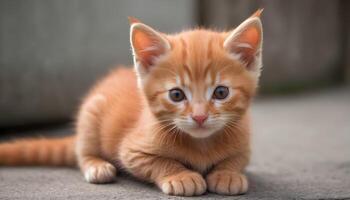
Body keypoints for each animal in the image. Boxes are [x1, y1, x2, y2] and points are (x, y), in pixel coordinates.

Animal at [0, 9, 262, 197]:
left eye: (221, 92)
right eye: (176, 95)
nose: (199, 117)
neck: (202, 144)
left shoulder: (245, 144)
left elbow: (236, 159)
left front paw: (227, 174)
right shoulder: (132, 151)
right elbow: (160, 161)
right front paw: (180, 176)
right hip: (91, 113)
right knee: (81, 152)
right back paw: (96, 166)